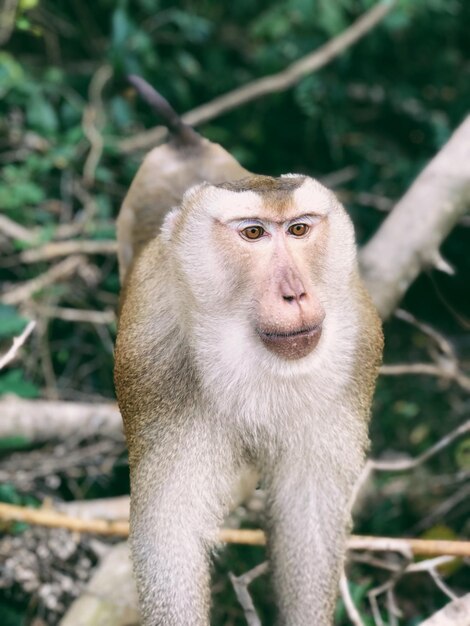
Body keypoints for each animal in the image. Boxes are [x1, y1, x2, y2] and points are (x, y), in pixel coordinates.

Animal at [115, 78, 384, 624]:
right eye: (254, 233)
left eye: (299, 229)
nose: (295, 293)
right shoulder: (154, 363)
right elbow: (168, 536)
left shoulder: (357, 351)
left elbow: (309, 517)